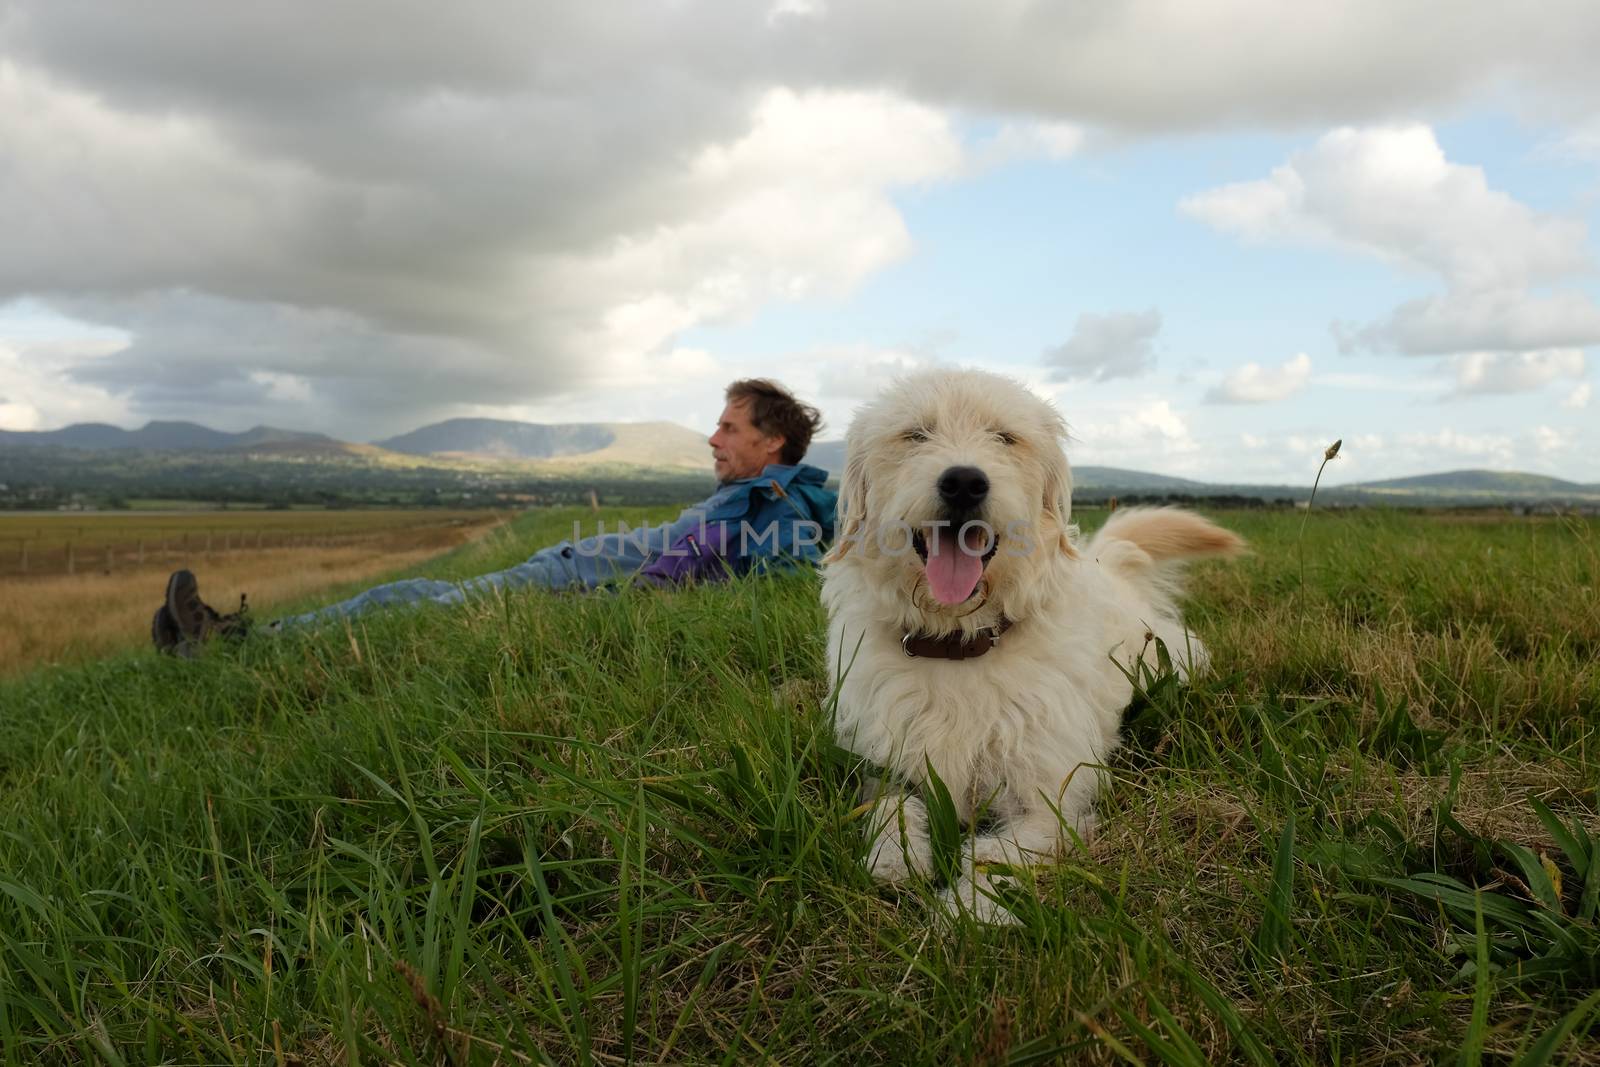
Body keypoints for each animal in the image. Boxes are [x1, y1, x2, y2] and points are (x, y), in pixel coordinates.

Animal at [819, 367, 1241, 921]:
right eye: (915, 434)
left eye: (1005, 437)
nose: (964, 481)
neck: (959, 643)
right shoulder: (889, 766)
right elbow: (891, 810)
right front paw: (895, 860)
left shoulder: (1049, 802)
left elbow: (990, 856)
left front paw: (959, 915)